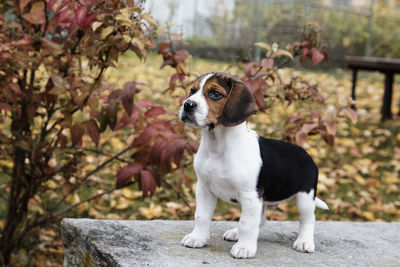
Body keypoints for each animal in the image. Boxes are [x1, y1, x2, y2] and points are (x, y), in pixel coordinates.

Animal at [179, 71, 328, 260]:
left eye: (215, 94)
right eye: (192, 90)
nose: (187, 105)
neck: (218, 147)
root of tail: (308, 155)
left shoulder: (250, 196)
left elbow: (246, 223)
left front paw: (244, 248)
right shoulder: (204, 189)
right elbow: (201, 216)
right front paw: (197, 238)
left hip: (305, 197)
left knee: (308, 219)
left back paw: (304, 242)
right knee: (261, 220)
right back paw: (235, 233)